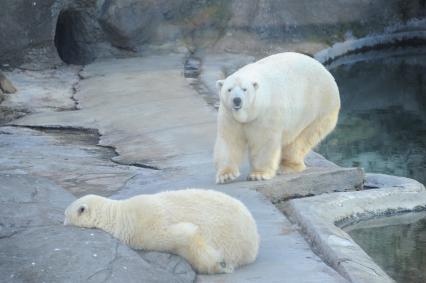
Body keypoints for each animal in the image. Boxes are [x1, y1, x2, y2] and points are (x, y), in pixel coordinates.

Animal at [64, 190, 260, 274]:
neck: (117, 216)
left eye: (66, 214)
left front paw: (220, 264)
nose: (63, 222)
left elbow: (179, 236)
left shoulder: (144, 224)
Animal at [215, 51, 342, 184]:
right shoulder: (229, 116)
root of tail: (327, 73)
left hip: (319, 108)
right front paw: (226, 175)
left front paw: (258, 174)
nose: (237, 100)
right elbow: (229, 141)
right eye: (229, 89)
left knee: (301, 140)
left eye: (244, 89)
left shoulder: (265, 114)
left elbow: (264, 142)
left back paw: (287, 166)